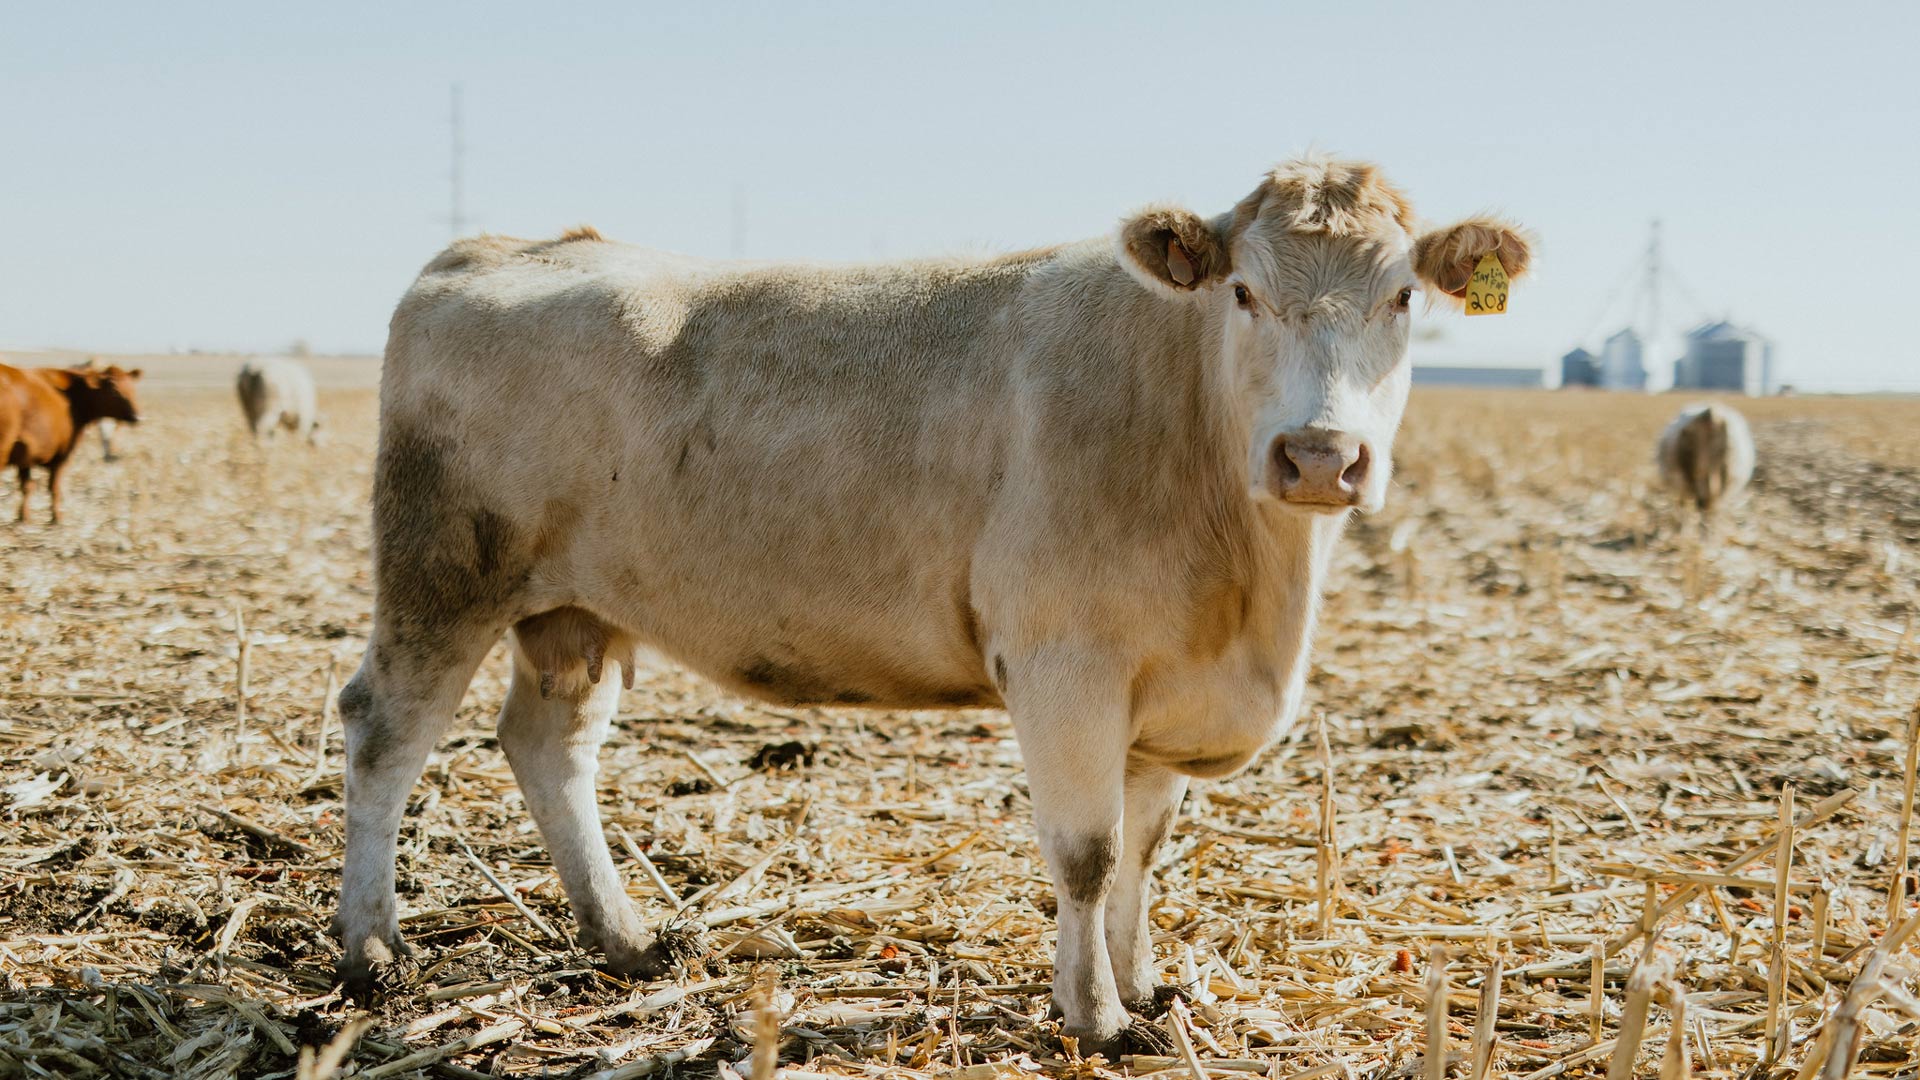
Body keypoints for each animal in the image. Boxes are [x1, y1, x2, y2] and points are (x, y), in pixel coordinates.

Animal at [0, 361, 142, 522]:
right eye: (114, 390)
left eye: (132, 388)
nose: (137, 417)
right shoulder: (62, 454)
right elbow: (54, 488)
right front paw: (57, 519)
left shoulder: (26, 454)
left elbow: (27, 487)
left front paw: (24, 518)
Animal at [326, 155, 1528, 1045]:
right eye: (1244, 292)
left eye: (1403, 297)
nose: (1319, 456)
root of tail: (497, 246)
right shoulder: (1066, 663)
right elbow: (1087, 854)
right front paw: (1095, 1017)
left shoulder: (1160, 689)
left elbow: (1141, 851)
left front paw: (1142, 987)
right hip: (443, 569)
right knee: (385, 730)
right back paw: (371, 952)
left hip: (573, 606)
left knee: (549, 743)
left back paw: (626, 938)